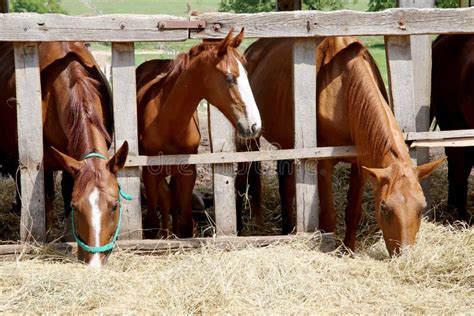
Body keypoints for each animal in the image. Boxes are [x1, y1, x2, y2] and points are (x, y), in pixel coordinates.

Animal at [0, 40, 129, 266]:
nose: (95, 262)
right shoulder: (46, 162)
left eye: (115, 206)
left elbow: (67, 186)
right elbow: (48, 196)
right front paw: (50, 233)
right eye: (76, 207)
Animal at [136, 29, 262, 237]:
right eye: (229, 78)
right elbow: (152, 223)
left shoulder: (188, 172)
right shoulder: (150, 173)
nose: (254, 126)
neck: (168, 122)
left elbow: (186, 225)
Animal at [239, 37, 446, 256]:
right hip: (251, 137)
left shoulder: (361, 163)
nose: (404, 255)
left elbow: (353, 211)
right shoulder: (323, 163)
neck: (344, 88)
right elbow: (328, 216)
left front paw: (349, 250)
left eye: (422, 207)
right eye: (383, 207)